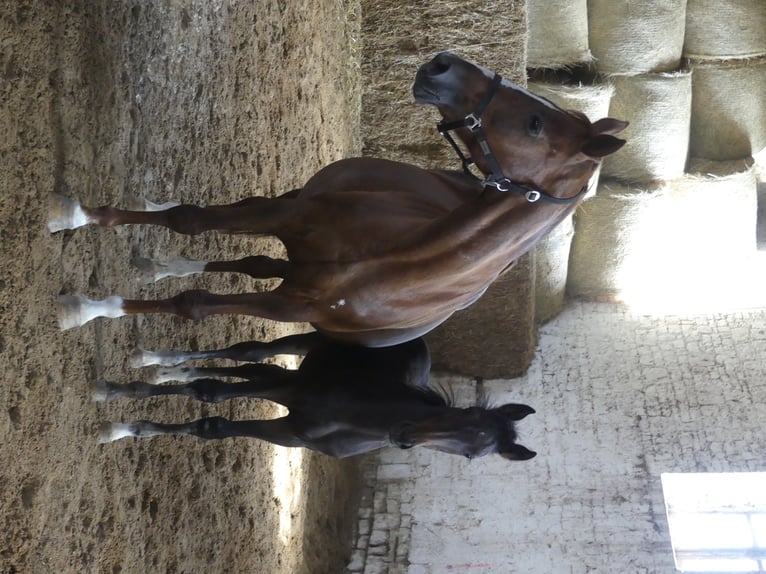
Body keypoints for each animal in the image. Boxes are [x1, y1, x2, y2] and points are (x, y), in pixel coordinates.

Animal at [52, 50, 632, 346]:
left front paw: (84, 308)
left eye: (535, 123)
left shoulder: (290, 305)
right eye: (542, 110)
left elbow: (191, 304)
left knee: (255, 262)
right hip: (297, 201)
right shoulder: (293, 212)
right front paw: (76, 217)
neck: (396, 262)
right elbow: (188, 220)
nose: (443, 63)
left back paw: (158, 265)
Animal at [96, 332, 536, 464]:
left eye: (471, 456)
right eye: (467, 413)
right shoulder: (290, 391)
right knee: (248, 353)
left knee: (251, 366)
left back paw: (165, 368)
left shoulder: (287, 432)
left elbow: (213, 426)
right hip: (306, 345)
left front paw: (127, 426)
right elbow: (211, 394)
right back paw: (155, 361)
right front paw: (117, 408)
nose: (405, 437)